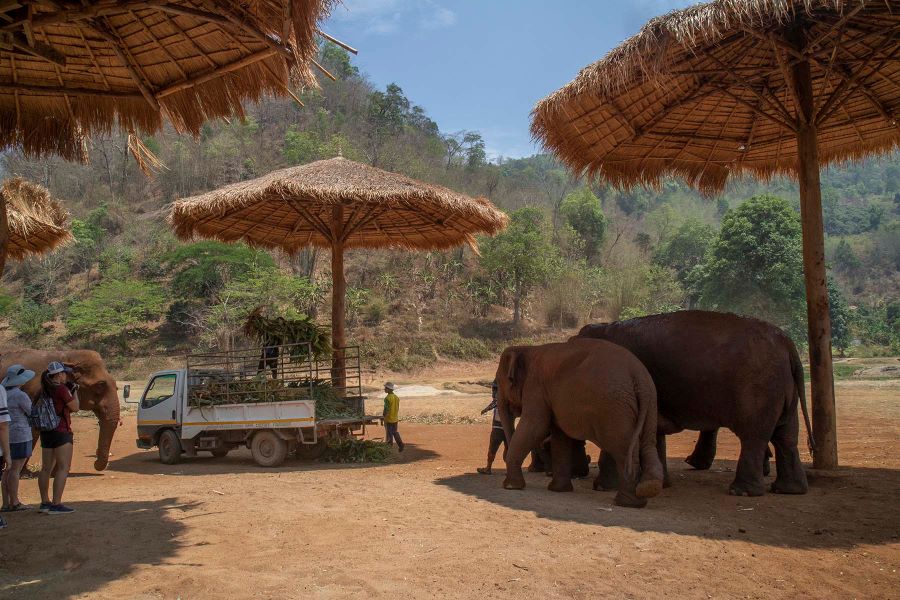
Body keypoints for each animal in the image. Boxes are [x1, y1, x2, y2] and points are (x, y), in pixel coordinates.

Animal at [495, 338, 664, 508]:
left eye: (499, 384)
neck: (529, 349)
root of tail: (639, 376)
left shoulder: (535, 386)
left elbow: (535, 426)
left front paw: (510, 487)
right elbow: (559, 436)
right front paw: (558, 490)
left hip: (616, 409)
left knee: (623, 448)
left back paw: (626, 502)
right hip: (650, 403)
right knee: (647, 443)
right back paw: (646, 490)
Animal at [576, 311, 813, 497]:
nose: (584, 469)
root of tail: (787, 344)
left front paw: (603, 488)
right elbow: (654, 431)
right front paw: (662, 485)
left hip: (759, 388)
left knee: (754, 436)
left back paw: (741, 492)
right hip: (782, 388)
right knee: (786, 436)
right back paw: (788, 490)